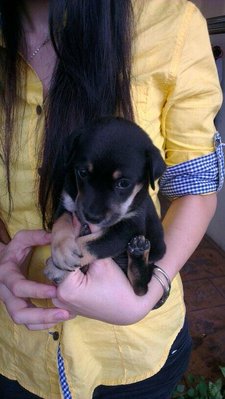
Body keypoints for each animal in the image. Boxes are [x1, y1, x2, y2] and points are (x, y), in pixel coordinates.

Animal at [44, 117, 166, 296]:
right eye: (82, 172)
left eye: (123, 183)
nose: (91, 217)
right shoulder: (66, 203)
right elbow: (61, 225)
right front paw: (62, 252)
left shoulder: (128, 227)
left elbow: (90, 244)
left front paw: (55, 268)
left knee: (140, 289)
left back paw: (138, 253)